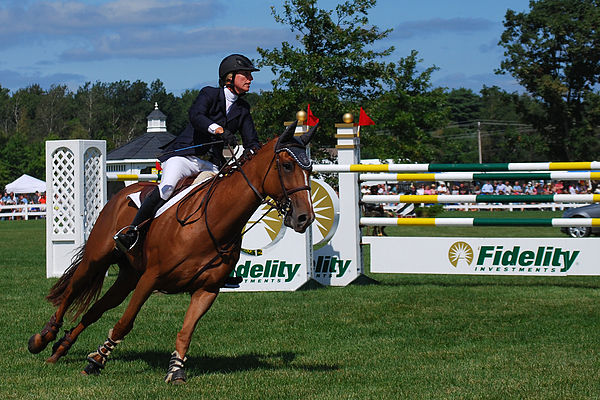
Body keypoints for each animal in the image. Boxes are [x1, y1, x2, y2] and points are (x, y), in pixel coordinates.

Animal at [27, 121, 318, 384]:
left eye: (310, 169)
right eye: (287, 165)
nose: (304, 218)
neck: (211, 221)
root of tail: (122, 193)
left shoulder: (206, 290)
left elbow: (185, 332)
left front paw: (176, 370)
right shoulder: (150, 279)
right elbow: (125, 322)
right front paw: (96, 361)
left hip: (128, 276)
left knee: (96, 309)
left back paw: (60, 348)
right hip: (97, 259)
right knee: (72, 290)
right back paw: (42, 339)